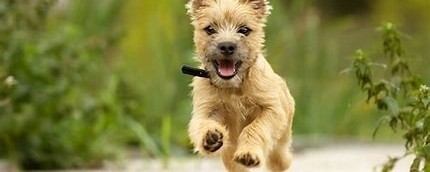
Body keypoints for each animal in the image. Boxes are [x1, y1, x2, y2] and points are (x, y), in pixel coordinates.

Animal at [186, 0, 294, 171]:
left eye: (244, 30)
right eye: (210, 29)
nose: (226, 46)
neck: (233, 87)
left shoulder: (272, 109)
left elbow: (254, 128)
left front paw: (248, 153)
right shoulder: (206, 109)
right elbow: (201, 123)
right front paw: (210, 136)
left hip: (280, 146)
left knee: (281, 160)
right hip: (230, 156)